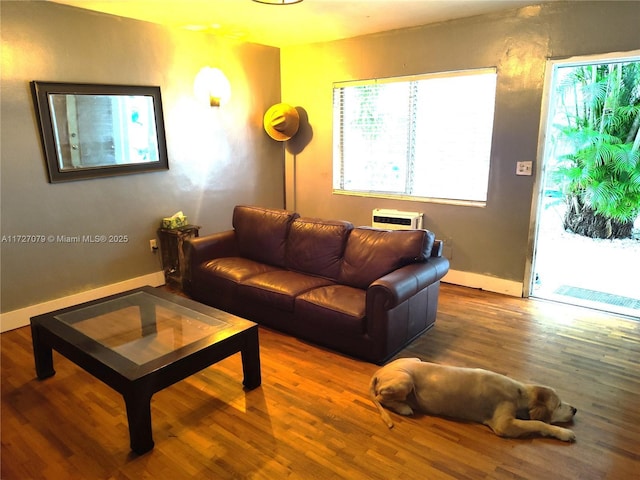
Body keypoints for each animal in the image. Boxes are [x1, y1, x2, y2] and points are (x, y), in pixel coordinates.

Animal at [368, 358, 576, 440]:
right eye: (559, 405)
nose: (575, 409)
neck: (520, 392)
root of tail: (379, 371)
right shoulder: (504, 425)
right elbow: (538, 423)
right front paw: (564, 433)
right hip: (405, 380)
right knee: (381, 397)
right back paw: (403, 407)